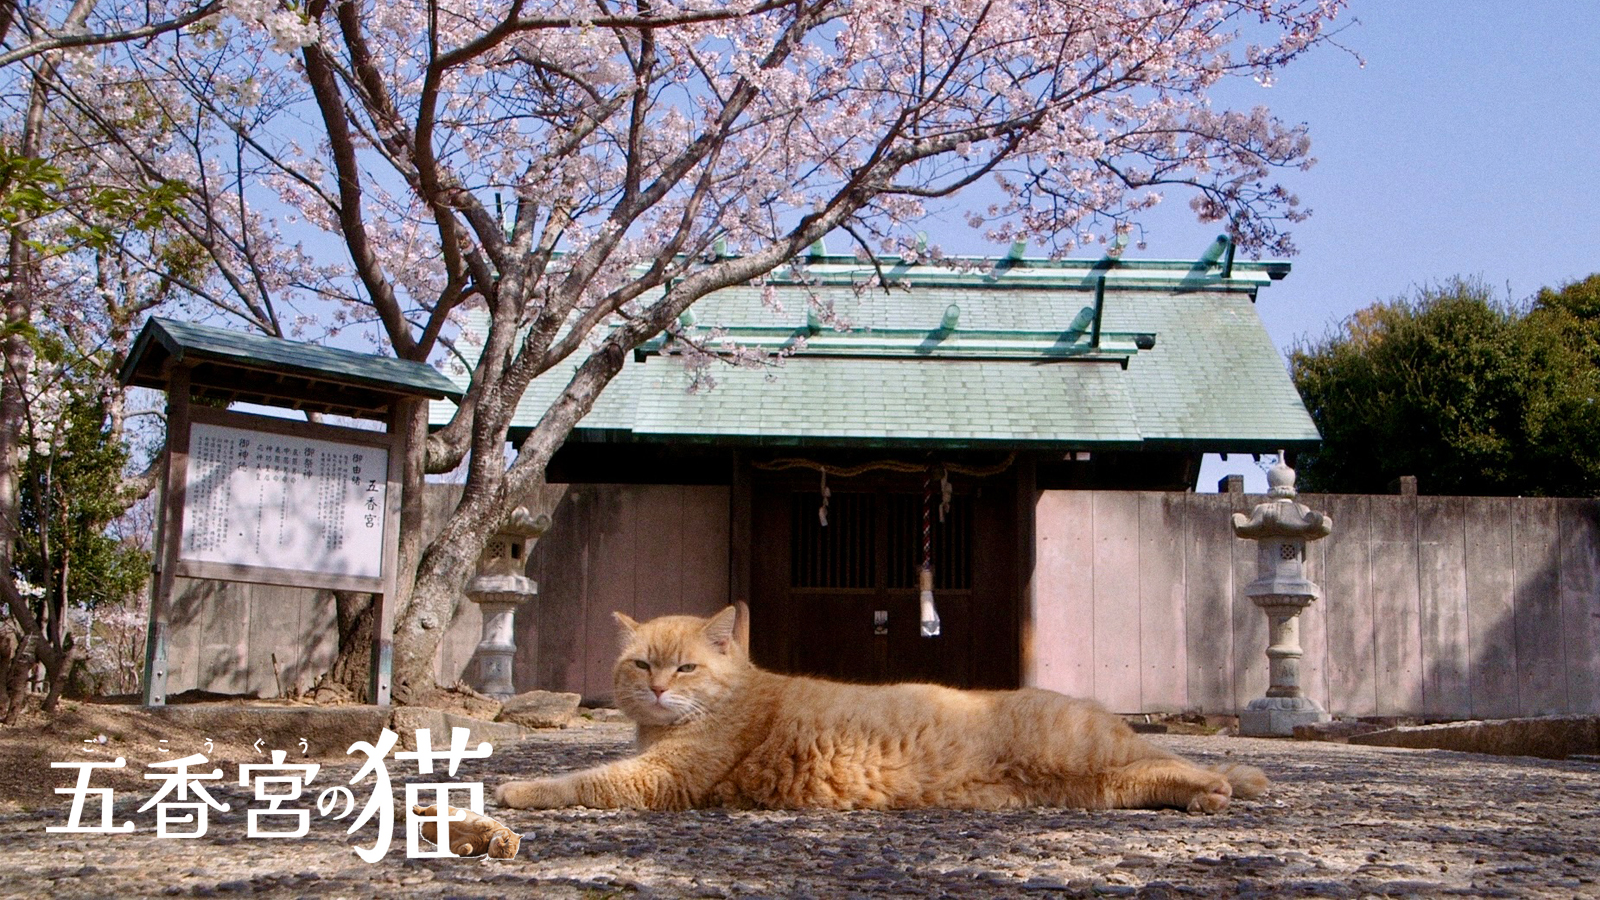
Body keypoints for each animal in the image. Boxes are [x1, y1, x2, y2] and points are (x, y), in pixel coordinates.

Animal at [492, 602, 1267, 813]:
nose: (657, 689)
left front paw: (515, 789)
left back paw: (1228, 784)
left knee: (1179, 757)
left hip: (1090, 754)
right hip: (1098, 786)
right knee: (1160, 769)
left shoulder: (660, 779)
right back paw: (1220, 791)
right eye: (640, 664)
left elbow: (582, 781)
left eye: (684, 666)